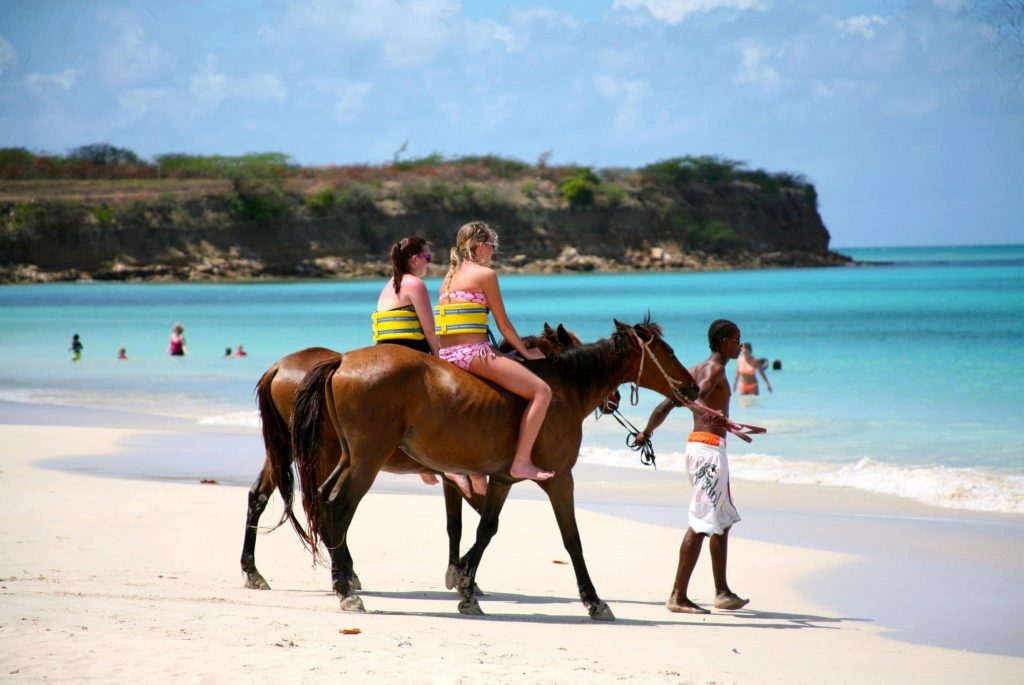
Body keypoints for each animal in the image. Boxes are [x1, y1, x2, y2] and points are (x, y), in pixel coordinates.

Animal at [240, 323, 610, 593]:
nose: (614, 399)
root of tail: (280, 367)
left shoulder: (456, 477)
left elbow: (457, 524)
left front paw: (461, 574)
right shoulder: (466, 477)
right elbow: (474, 523)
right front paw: (464, 576)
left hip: (287, 452)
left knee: (263, 497)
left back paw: (256, 571)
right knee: (326, 507)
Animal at [289, 318, 698, 620]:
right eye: (669, 351)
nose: (693, 387)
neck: (561, 390)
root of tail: (342, 361)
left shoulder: (500, 480)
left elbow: (485, 530)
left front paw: (466, 587)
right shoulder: (560, 480)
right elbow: (572, 539)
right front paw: (594, 601)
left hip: (348, 458)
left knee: (324, 501)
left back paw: (342, 579)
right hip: (367, 461)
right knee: (339, 507)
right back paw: (346, 589)